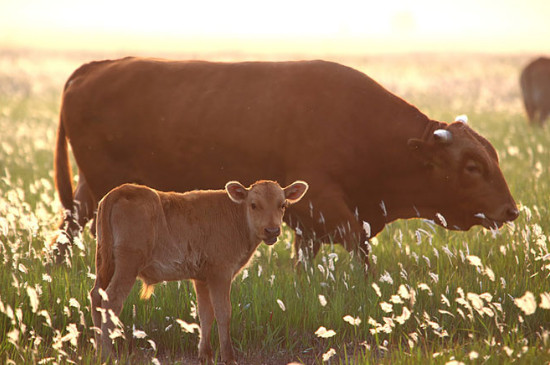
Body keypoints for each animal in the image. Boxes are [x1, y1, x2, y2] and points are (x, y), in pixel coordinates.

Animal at [52, 57, 520, 264]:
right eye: (472, 166)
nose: (510, 210)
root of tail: (94, 67)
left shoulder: (307, 224)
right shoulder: (328, 209)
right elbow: (360, 251)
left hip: (88, 194)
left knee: (66, 231)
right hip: (104, 191)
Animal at [88, 179, 308, 362]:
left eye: (283, 205)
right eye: (254, 205)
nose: (272, 230)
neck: (236, 217)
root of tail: (120, 191)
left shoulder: (202, 278)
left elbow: (205, 313)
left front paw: (205, 355)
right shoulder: (221, 273)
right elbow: (223, 312)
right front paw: (229, 357)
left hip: (104, 263)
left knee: (96, 296)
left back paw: (98, 350)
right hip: (128, 265)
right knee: (112, 300)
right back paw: (108, 354)